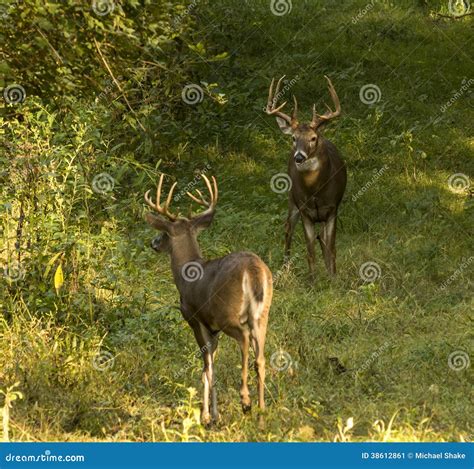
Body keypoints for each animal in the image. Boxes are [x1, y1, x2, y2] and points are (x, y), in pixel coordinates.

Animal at [143, 171, 272, 424]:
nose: (153, 243)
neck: (186, 272)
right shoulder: (214, 330)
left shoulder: (196, 320)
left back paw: (245, 401)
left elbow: (207, 367)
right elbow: (210, 367)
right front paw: (211, 413)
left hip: (228, 314)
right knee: (260, 358)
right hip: (262, 315)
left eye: (164, 232)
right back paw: (262, 414)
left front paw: (208, 416)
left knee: (243, 339)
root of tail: (253, 270)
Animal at [264, 76, 346, 282]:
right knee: (287, 229)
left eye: (313, 138)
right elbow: (310, 250)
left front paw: (333, 277)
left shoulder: (332, 208)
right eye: (293, 138)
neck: (315, 190)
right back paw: (285, 267)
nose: (299, 157)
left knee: (322, 239)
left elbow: (331, 247)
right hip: (292, 199)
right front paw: (313, 280)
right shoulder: (305, 210)